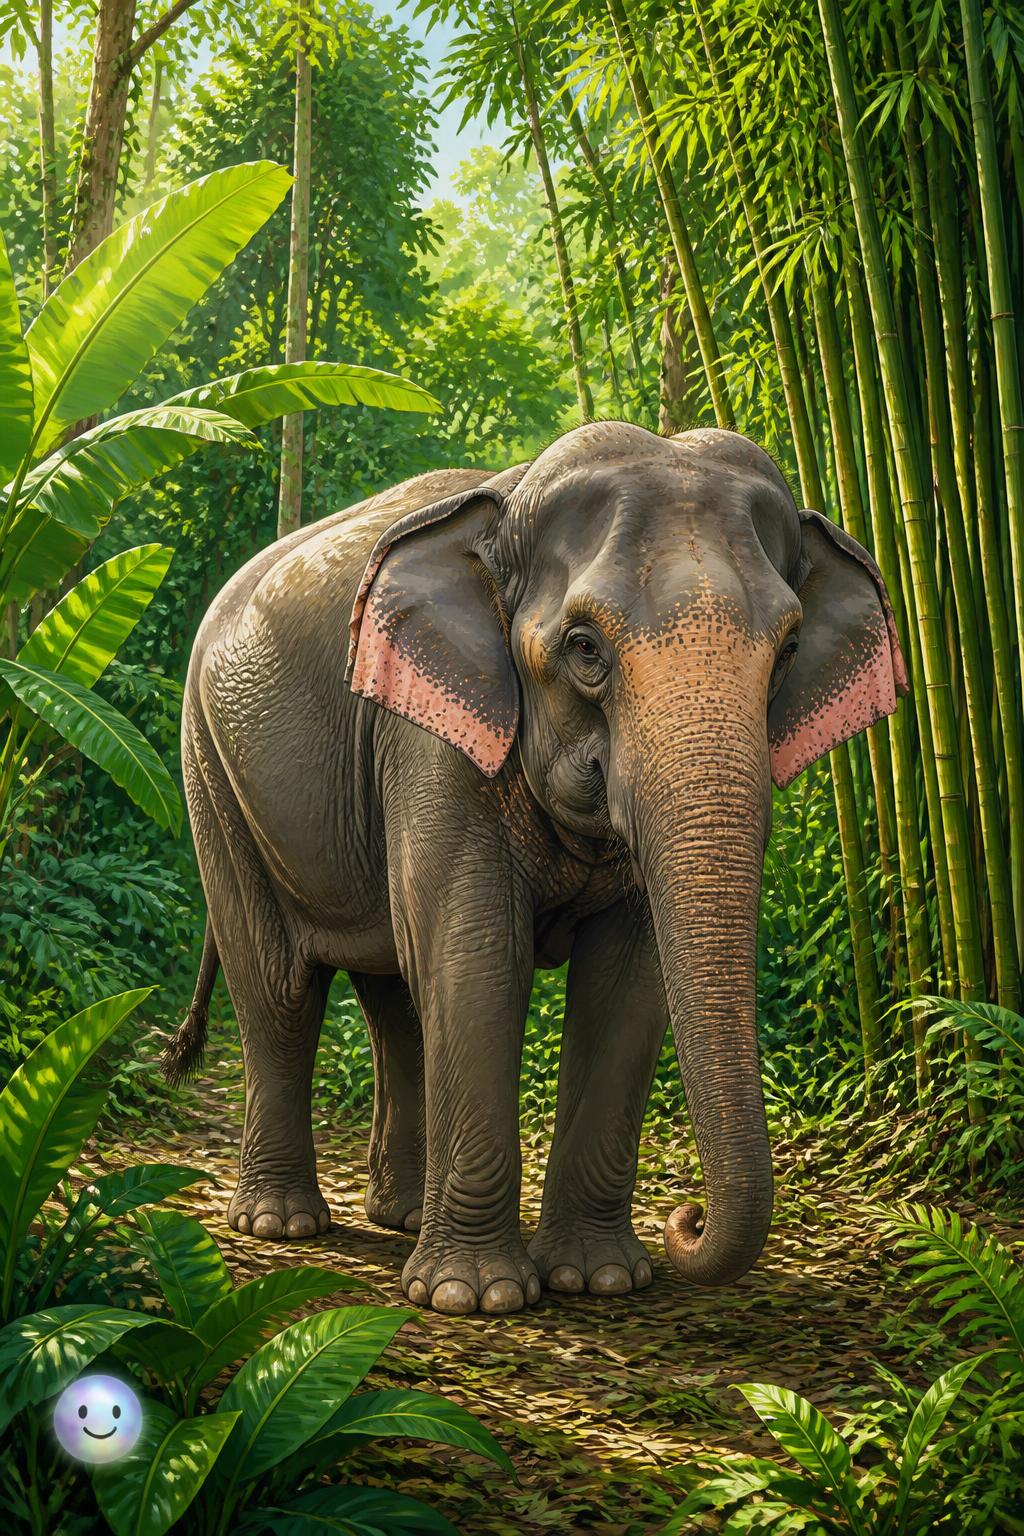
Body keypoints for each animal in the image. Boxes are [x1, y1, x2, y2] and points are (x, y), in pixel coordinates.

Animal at [163, 420, 907, 1316]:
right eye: (584, 648)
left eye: (790, 648)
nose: (686, 1220)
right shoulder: (432, 739)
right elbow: (477, 957)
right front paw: (473, 1298)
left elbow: (626, 979)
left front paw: (599, 1279)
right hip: (211, 771)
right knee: (280, 989)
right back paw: (281, 1225)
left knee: (395, 994)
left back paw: (399, 1216)